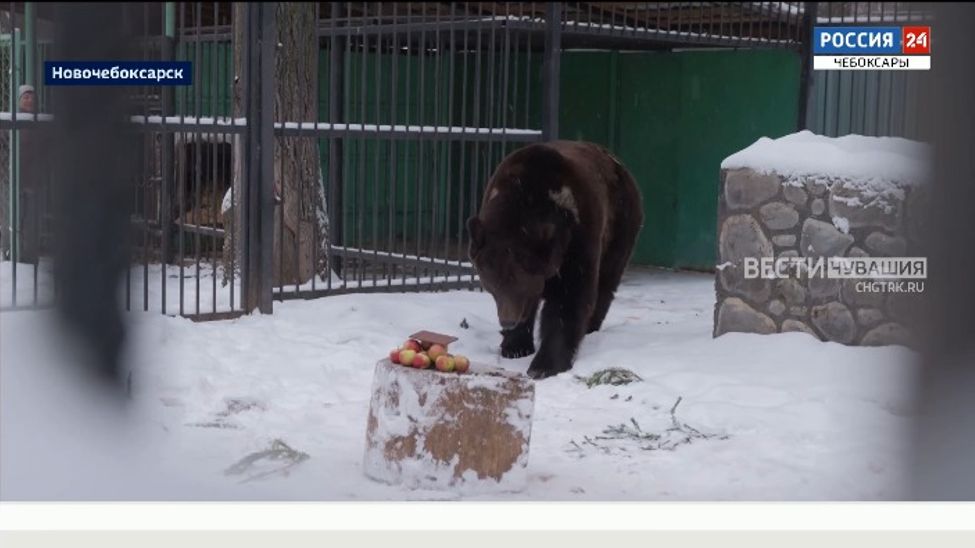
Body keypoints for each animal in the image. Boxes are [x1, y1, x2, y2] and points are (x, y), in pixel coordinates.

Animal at [468, 141, 644, 378]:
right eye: (492, 285)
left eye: (518, 284)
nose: (507, 322)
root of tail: (620, 165)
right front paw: (515, 346)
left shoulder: (577, 237)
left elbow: (569, 298)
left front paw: (544, 365)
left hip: (620, 224)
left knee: (607, 280)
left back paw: (591, 326)